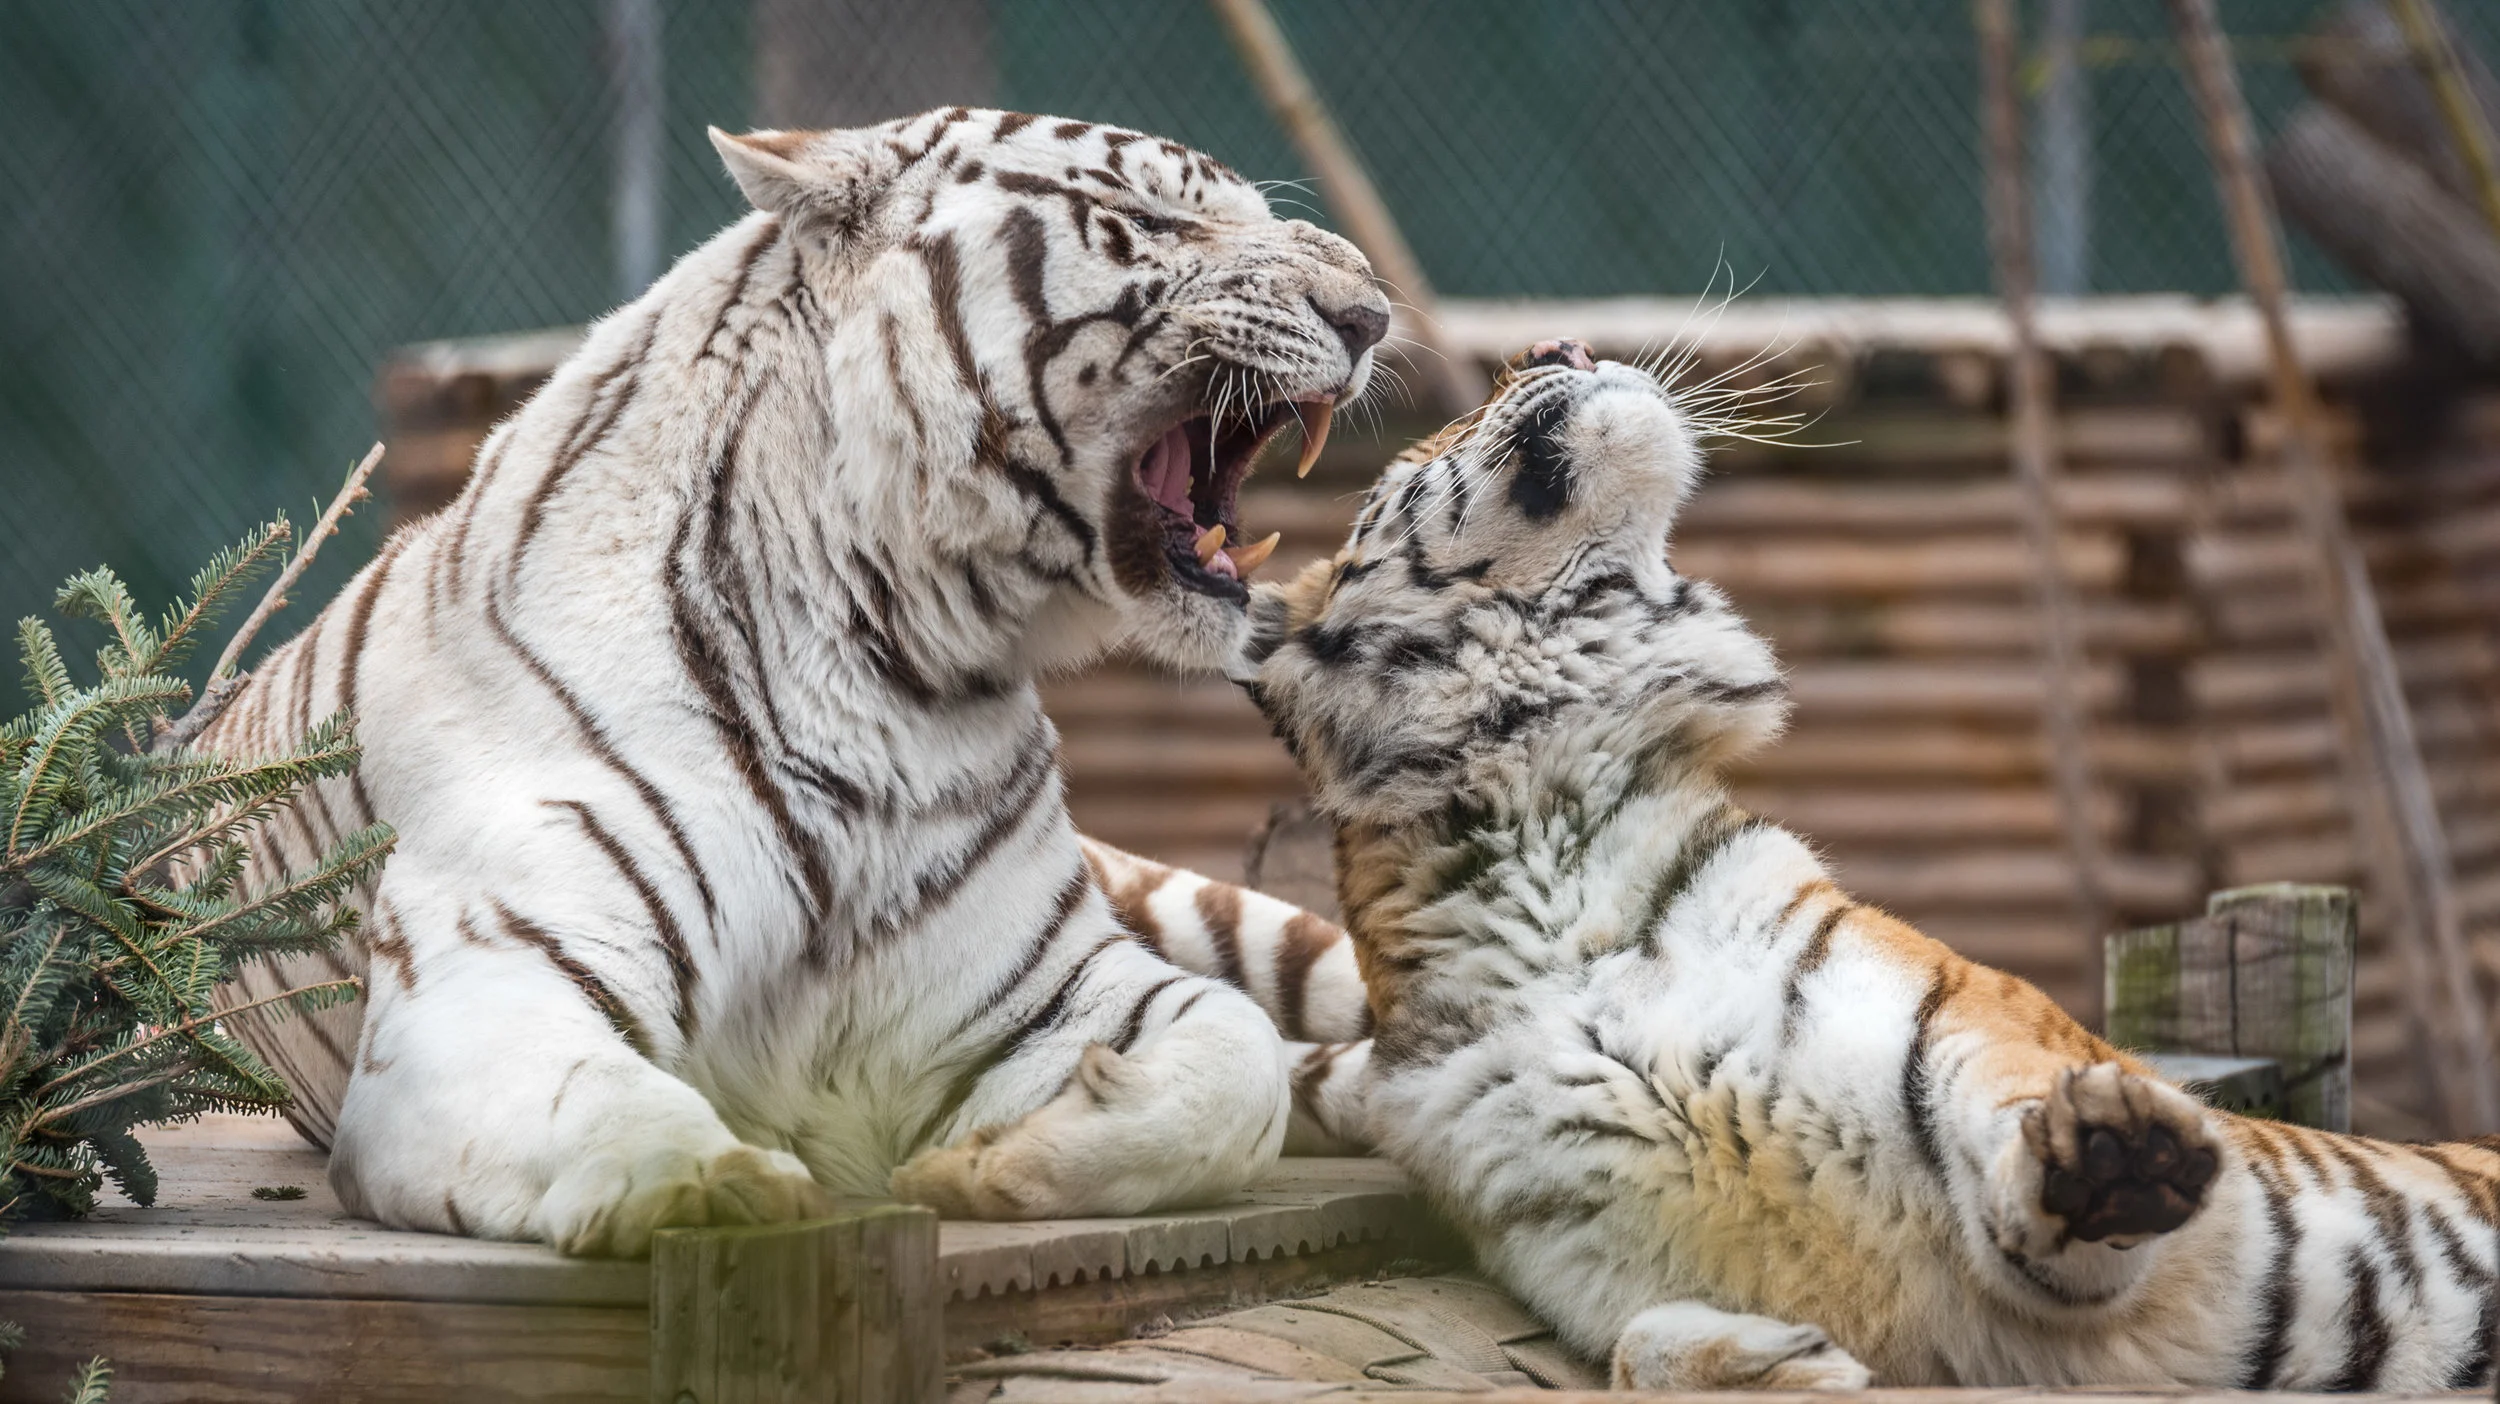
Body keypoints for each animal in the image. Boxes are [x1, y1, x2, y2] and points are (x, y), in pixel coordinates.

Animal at [197, 107, 1384, 1256]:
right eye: (1153, 218)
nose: (1372, 316)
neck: (901, 667)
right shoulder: (493, 975)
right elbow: (616, 1107)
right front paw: (731, 1188)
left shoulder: (1048, 981)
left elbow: (1239, 1061)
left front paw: (993, 1164)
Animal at [1233, 338, 2500, 1390]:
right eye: (1419, 449)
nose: (1562, 342)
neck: (1533, 810)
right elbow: (1636, 1348)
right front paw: (1778, 1359)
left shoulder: (1968, 1020)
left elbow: (2009, 1104)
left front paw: (2107, 1157)